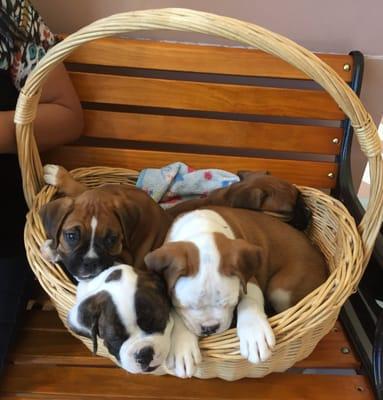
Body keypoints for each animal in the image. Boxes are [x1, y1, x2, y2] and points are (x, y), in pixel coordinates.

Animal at [39, 164, 172, 280]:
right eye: (71, 236)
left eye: (111, 239)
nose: (90, 262)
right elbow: (81, 189)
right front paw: (57, 174)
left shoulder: (126, 259)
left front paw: (52, 250)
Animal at [146, 206, 328, 378]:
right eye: (186, 306)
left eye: (230, 304)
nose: (210, 328)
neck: (202, 230)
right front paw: (182, 348)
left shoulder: (249, 279)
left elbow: (249, 300)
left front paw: (254, 332)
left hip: (281, 290)